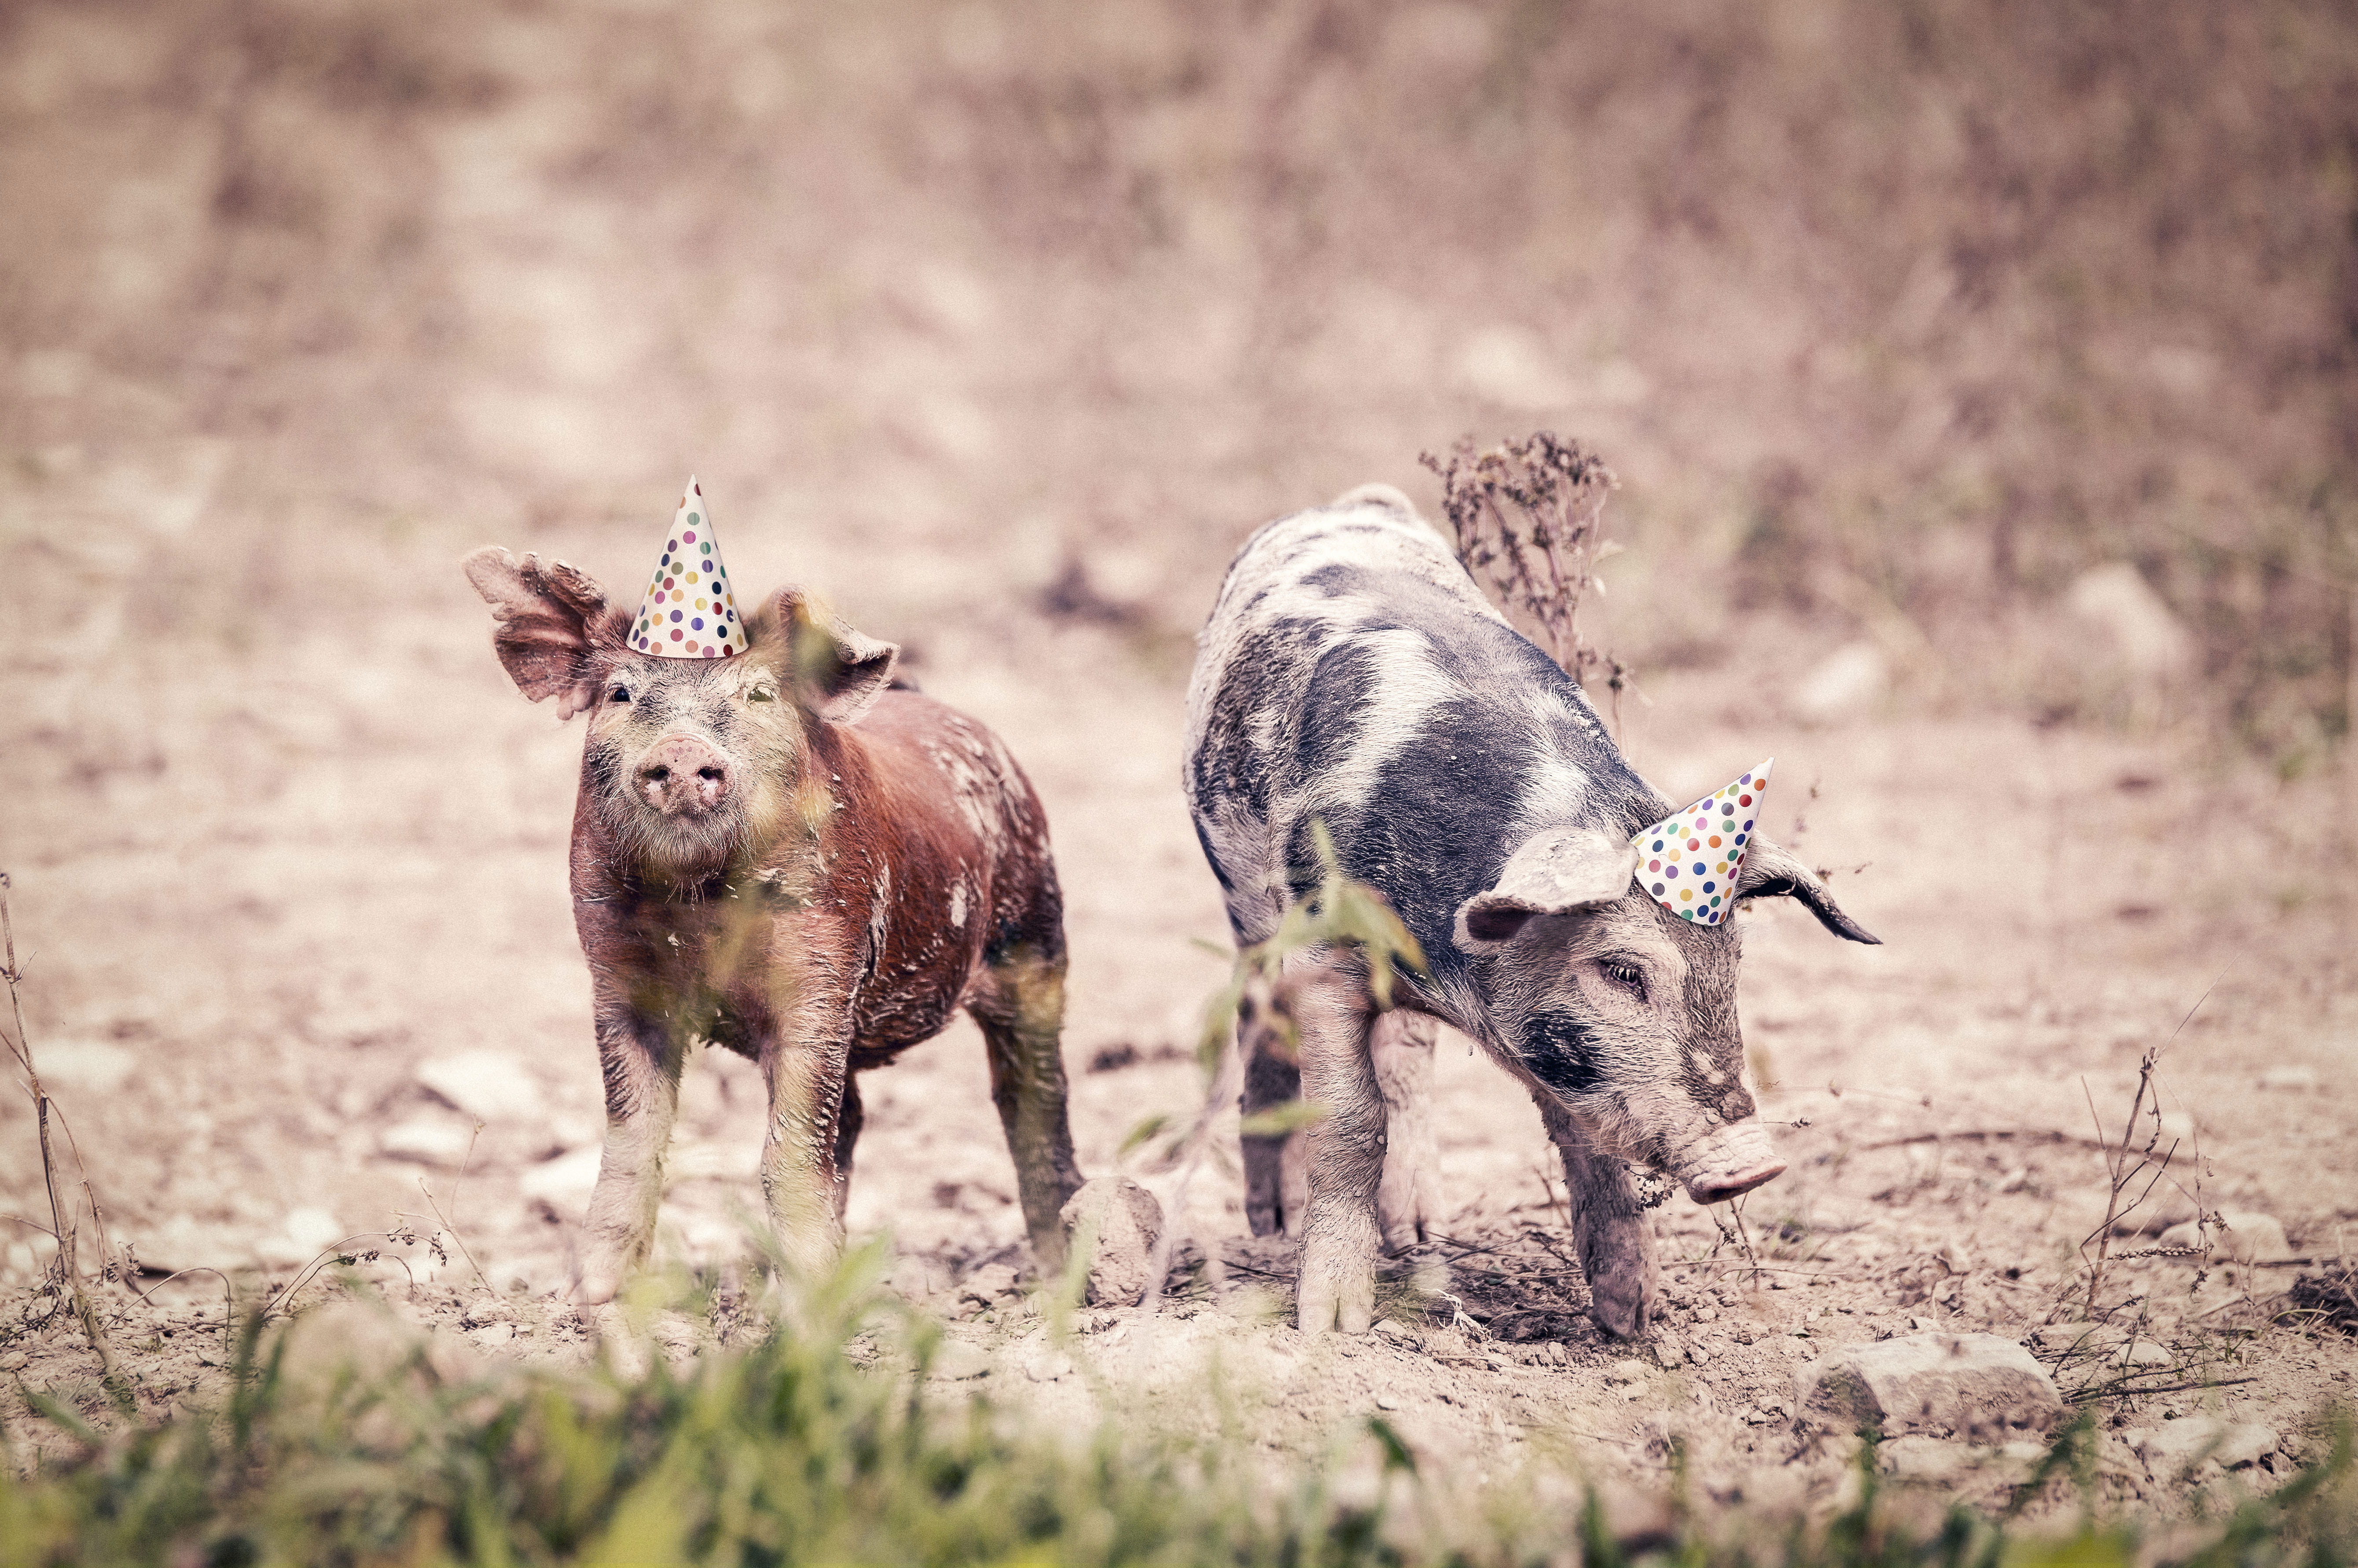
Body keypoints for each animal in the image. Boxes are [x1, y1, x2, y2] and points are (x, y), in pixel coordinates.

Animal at [465, 548, 1083, 1302]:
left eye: (759, 694)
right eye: (619, 694)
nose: (681, 751)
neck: (700, 909)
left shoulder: (824, 971)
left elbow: (788, 1150)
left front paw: (805, 1307)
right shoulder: (614, 978)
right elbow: (635, 1139)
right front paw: (594, 1295)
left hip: (1036, 934)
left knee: (1033, 1097)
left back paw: (1061, 1270)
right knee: (854, 1117)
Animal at [1183, 485, 1878, 1336]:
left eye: (1733, 965)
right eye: (1620, 971)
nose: (1756, 1161)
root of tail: (1348, 500)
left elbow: (1584, 1136)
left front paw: (1634, 1319)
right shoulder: (1325, 950)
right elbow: (1350, 1121)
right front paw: (1333, 1323)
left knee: (1407, 1060)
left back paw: (1420, 1233)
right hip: (1245, 904)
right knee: (1261, 1011)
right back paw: (1275, 1222)